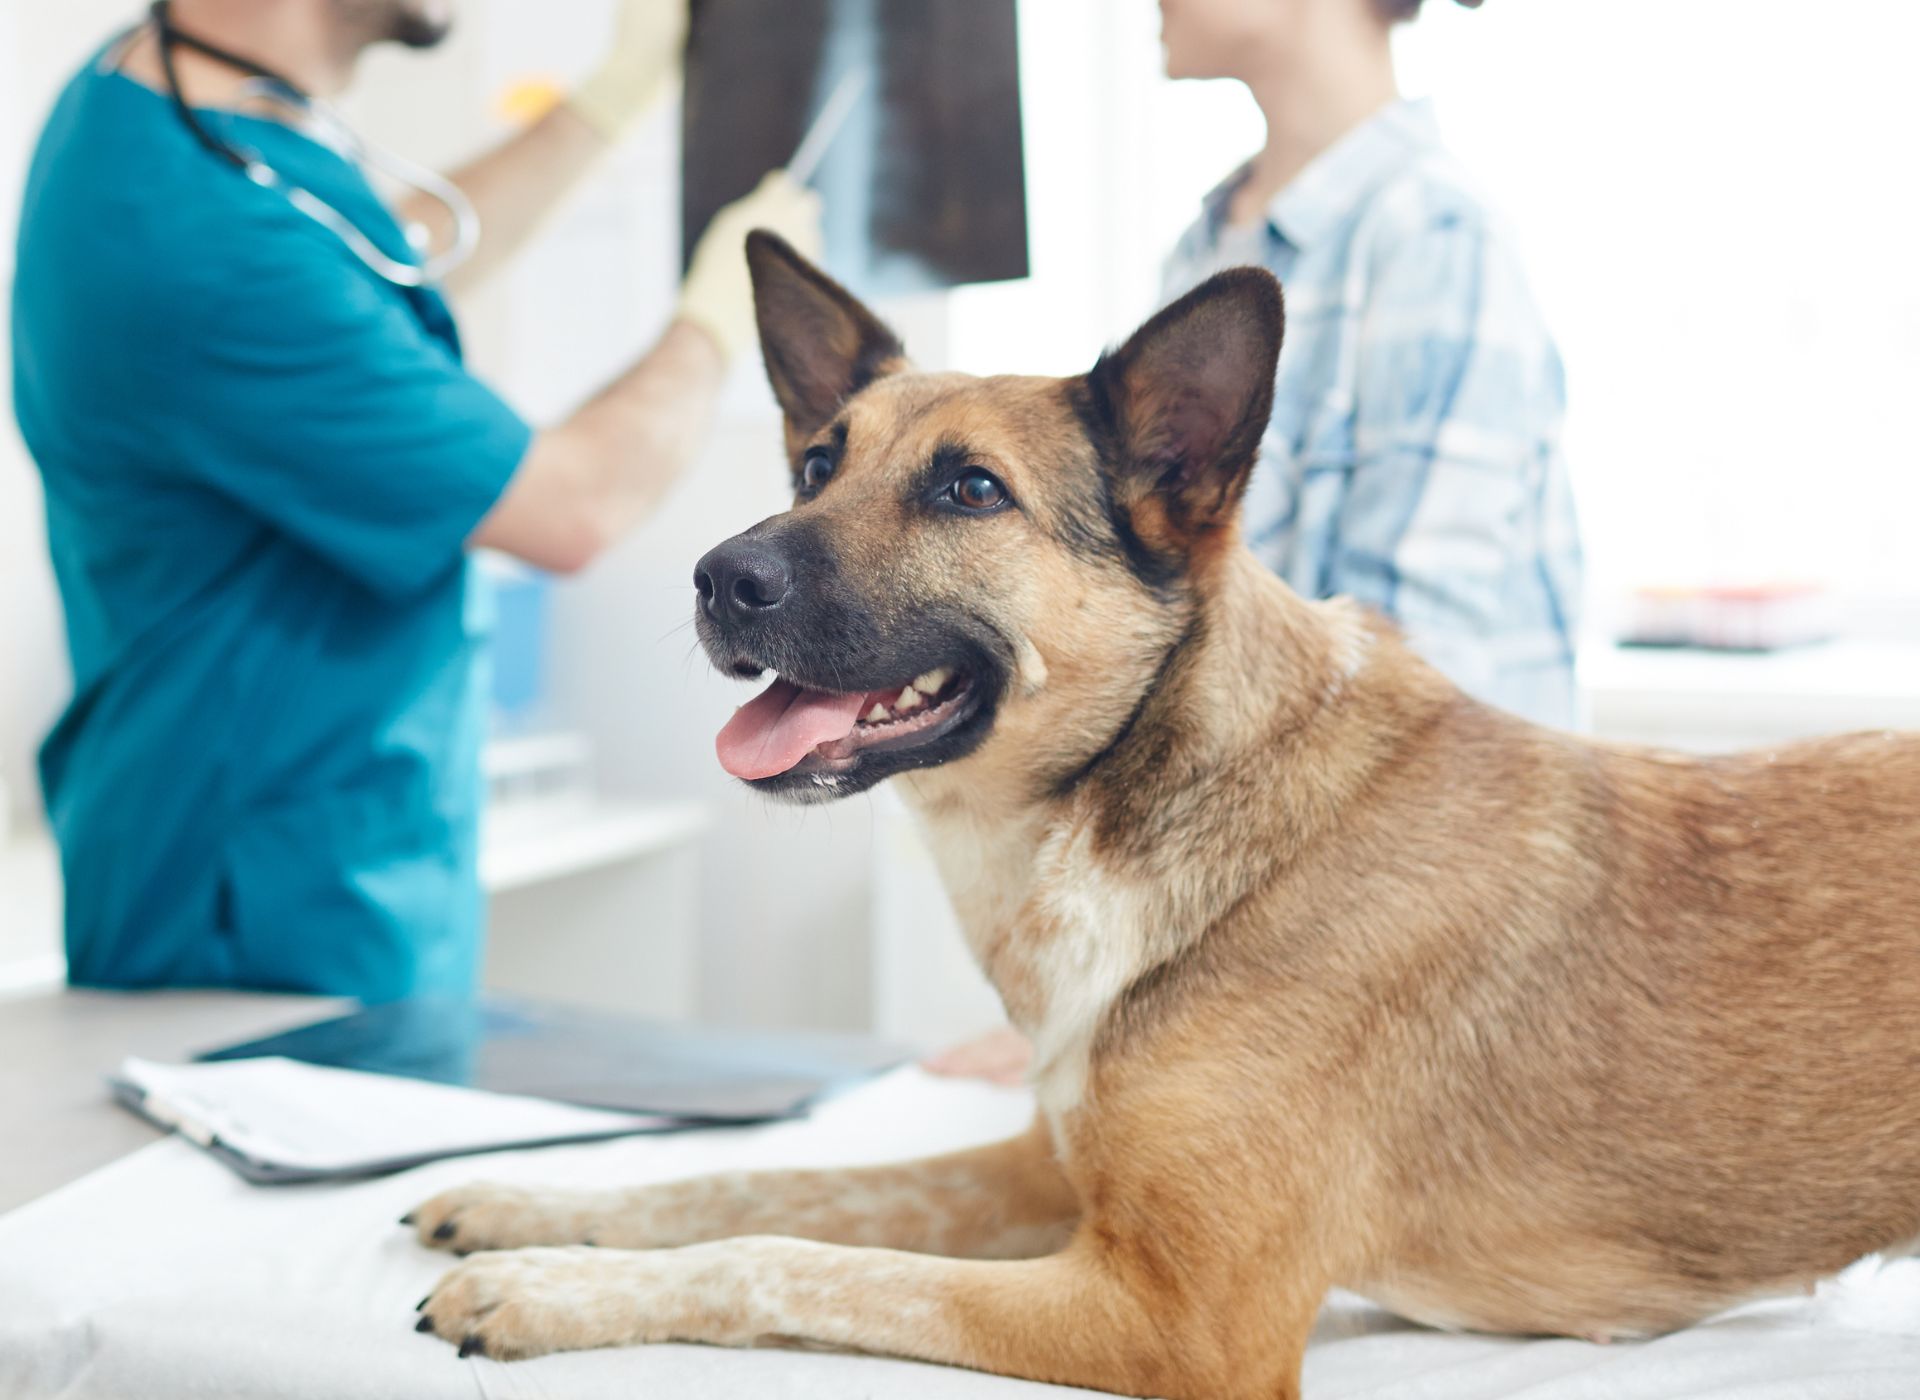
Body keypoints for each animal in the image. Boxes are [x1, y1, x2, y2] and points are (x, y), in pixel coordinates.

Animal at [405, 235, 1920, 1390]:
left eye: (969, 489)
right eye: (815, 466)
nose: (719, 577)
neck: (1143, 800)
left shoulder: (1176, 1319)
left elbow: (787, 1256)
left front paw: (543, 1288)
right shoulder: (1048, 1175)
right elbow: (749, 1184)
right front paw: (536, 1208)